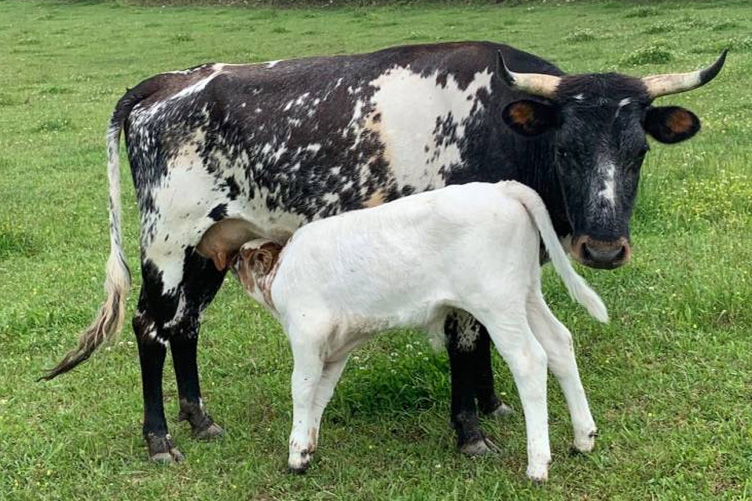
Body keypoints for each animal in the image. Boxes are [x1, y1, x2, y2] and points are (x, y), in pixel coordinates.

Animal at [228, 180, 609, 482]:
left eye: (247, 260)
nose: (232, 258)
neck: (284, 272)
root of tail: (501, 188)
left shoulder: (307, 335)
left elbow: (302, 390)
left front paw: (295, 455)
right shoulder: (335, 349)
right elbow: (321, 394)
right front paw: (308, 447)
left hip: (498, 305)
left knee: (530, 361)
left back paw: (537, 465)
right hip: (526, 295)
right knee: (559, 343)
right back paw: (583, 438)